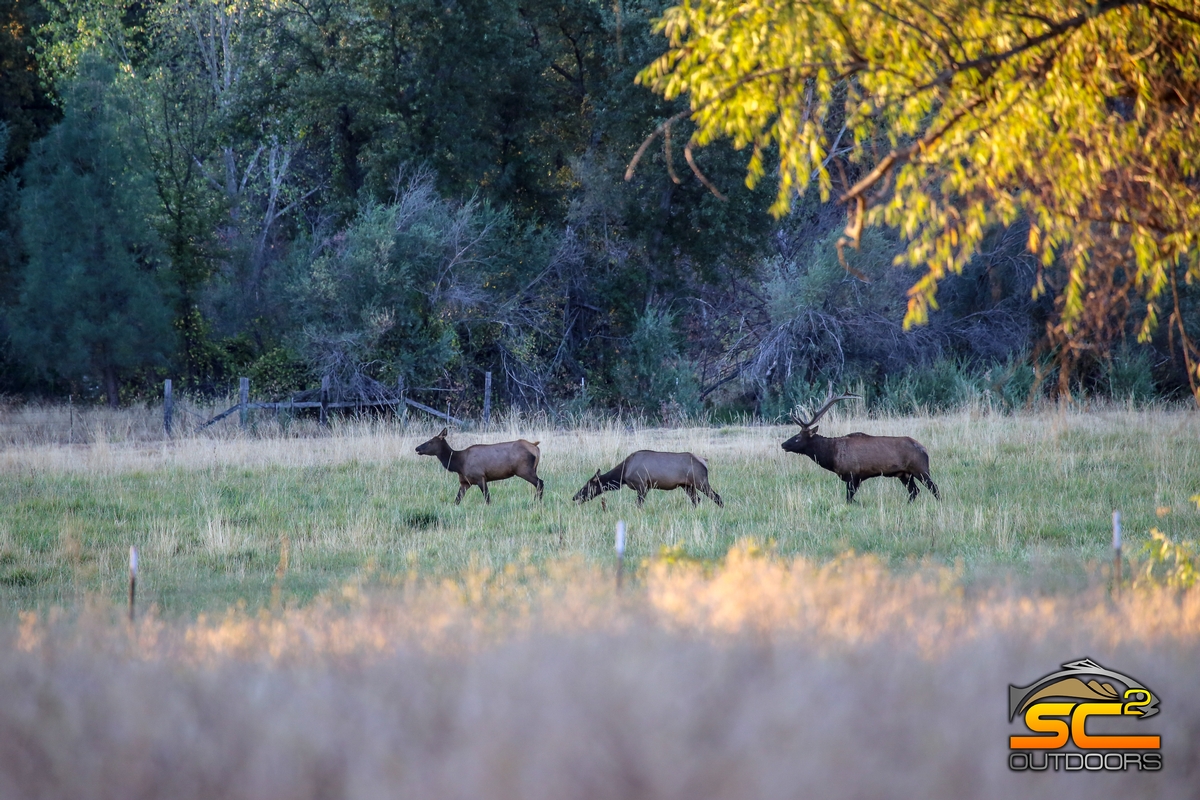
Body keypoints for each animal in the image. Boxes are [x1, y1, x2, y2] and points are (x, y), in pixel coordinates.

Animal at [412, 429, 544, 503]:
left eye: (430, 442)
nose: (417, 448)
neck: (458, 464)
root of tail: (535, 447)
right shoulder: (465, 482)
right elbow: (457, 500)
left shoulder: (480, 477)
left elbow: (487, 498)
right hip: (532, 469)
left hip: (524, 470)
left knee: (540, 482)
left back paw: (536, 502)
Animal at [571, 450, 720, 506]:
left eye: (587, 486)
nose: (574, 497)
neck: (622, 475)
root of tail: (704, 461)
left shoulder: (642, 485)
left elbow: (639, 504)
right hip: (687, 486)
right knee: (697, 500)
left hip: (701, 482)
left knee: (717, 497)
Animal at [782, 388, 940, 506]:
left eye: (798, 437)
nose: (783, 444)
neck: (832, 456)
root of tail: (925, 449)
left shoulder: (853, 475)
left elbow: (848, 499)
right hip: (904, 474)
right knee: (914, 491)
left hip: (920, 469)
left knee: (934, 488)